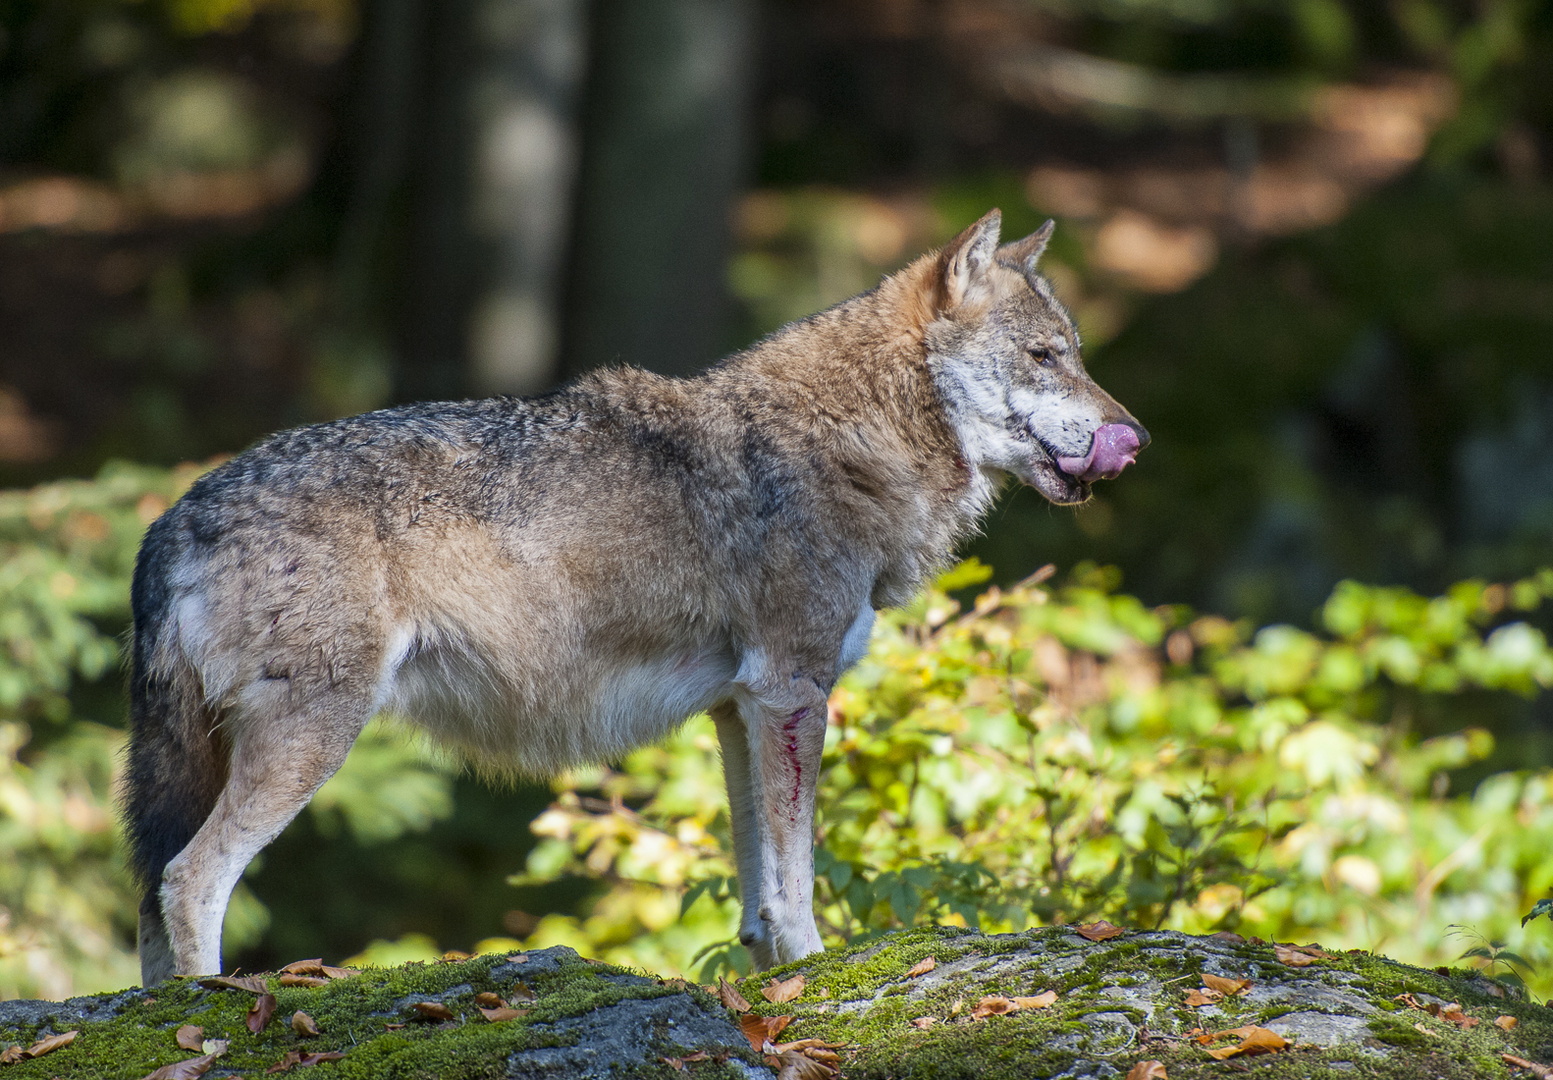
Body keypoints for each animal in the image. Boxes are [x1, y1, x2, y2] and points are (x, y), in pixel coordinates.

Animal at [118, 206, 1143, 982]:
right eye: (1047, 357)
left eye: (1075, 353)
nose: (1131, 436)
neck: (854, 442)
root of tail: (176, 516)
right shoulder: (793, 691)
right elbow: (797, 878)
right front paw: (817, 970)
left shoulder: (740, 708)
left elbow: (758, 889)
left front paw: (772, 985)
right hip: (312, 739)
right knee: (189, 881)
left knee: (151, 897)